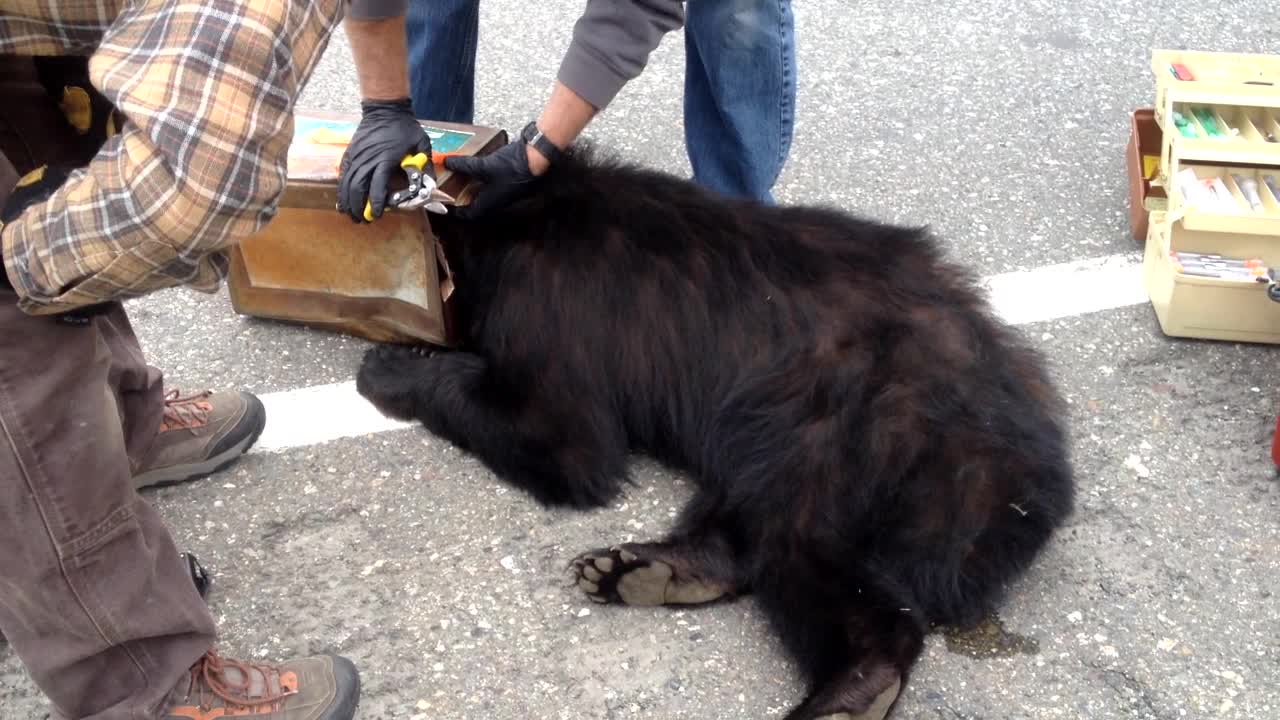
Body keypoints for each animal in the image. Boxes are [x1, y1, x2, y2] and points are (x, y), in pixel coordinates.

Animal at [355, 142, 1075, 712]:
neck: (507, 214)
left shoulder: (542, 297)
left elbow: (564, 441)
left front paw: (393, 369)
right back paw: (648, 571)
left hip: (854, 420)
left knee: (797, 534)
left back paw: (851, 689)